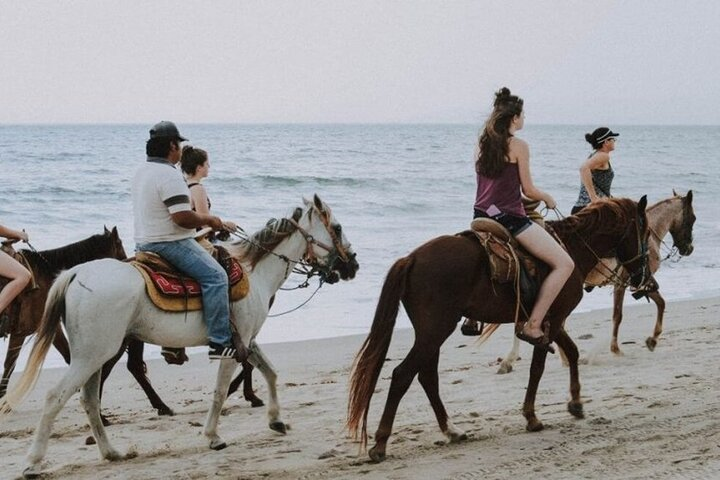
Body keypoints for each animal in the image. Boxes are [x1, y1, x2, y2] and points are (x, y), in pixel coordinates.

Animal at [346, 198, 656, 462]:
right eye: (645, 231)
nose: (646, 278)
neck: (571, 250)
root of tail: (411, 259)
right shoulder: (552, 320)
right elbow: (539, 367)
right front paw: (532, 417)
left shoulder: (549, 321)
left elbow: (572, 352)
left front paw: (576, 402)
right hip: (435, 330)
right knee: (403, 375)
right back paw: (381, 443)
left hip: (430, 332)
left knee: (427, 376)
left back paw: (451, 430)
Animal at [496, 191, 692, 376]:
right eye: (692, 219)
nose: (689, 249)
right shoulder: (629, 283)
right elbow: (624, 313)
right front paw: (627, 346)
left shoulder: (639, 283)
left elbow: (656, 303)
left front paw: (650, 340)